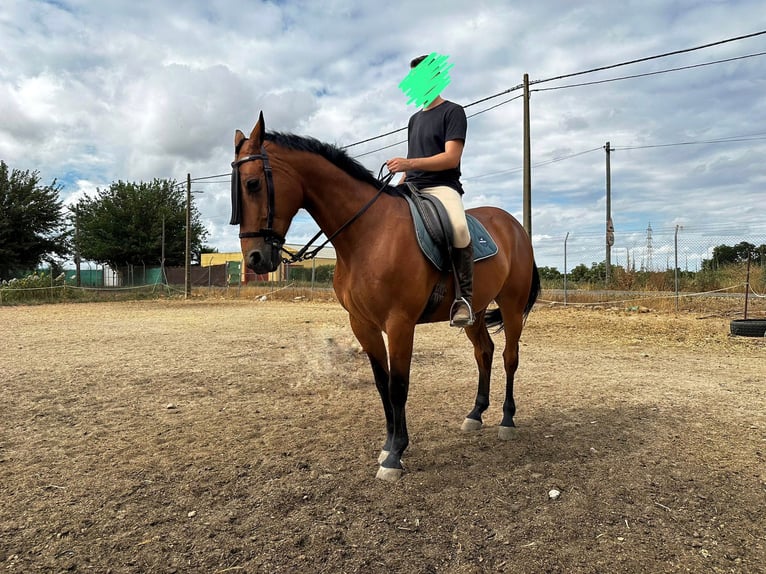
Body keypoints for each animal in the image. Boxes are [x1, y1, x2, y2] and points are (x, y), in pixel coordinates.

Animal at [234, 112, 540, 482]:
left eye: (252, 184)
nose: (255, 259)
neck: (367, 233)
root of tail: (515, 227)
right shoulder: (362, 324)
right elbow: (382, 385)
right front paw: (388, 445)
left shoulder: (399, 324)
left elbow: (398, 385)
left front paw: (395, 456)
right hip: (474, 311)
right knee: (485, 352)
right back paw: (475, 414)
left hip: (511, 306)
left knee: (510, 356)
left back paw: (507, 420)